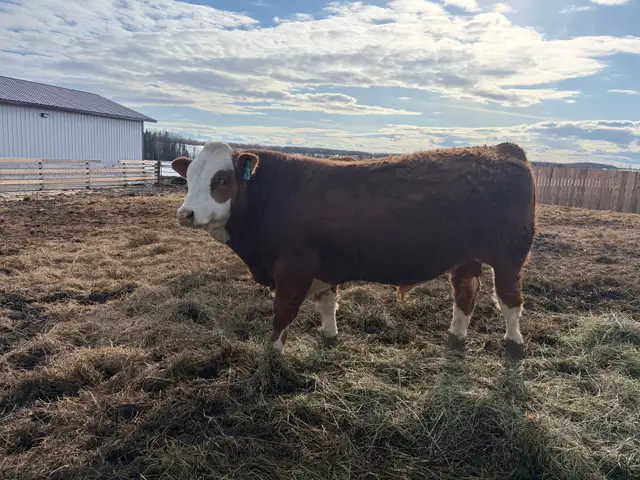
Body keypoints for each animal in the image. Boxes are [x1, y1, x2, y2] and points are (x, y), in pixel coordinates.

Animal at [170, 141, 536, 359]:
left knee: (509, 301)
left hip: (509, 258)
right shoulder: (321, 267)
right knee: (465, 292)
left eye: (221, 180)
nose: (185, 213)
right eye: (189, 177)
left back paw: (514, 344)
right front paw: (330, 337)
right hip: (466, 256)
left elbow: (282, 313)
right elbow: (327, 303)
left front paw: (273, 355)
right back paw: (456, 337)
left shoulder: (293, 268)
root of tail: (503, 149)